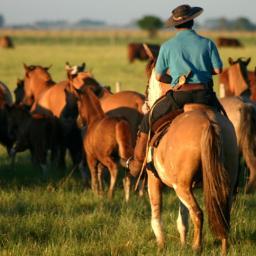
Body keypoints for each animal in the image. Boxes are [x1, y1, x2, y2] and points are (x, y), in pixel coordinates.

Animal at [136, 46, 238, 254]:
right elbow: (182, 217)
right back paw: (223, 248)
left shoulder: (154, 180)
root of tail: (208, 122)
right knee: (223, 214)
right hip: (223, 183)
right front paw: (182, 242)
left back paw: (197, 247)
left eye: (148, 86)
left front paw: (161, 244)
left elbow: (156, 215)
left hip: (182, 187)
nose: (144, 105)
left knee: (198, 213)